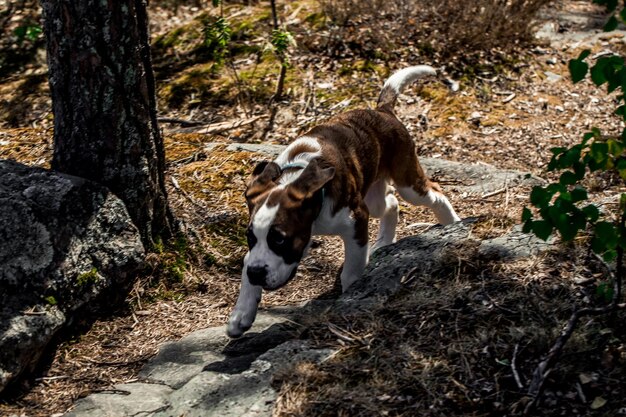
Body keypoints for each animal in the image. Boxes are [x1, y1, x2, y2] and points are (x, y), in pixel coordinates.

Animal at [227, 66, 460, 338]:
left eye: (280, 240)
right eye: (250, 238)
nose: (257, 274)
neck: (300, 177)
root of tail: (382, 110)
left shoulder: (355, 221)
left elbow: (351, 271)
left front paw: (350, 299)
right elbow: (247, 260)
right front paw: (242, 313)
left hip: (407, 182)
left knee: (434, 193)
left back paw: (452, 222)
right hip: (373, 196)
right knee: (391, 203)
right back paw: (384, 241)